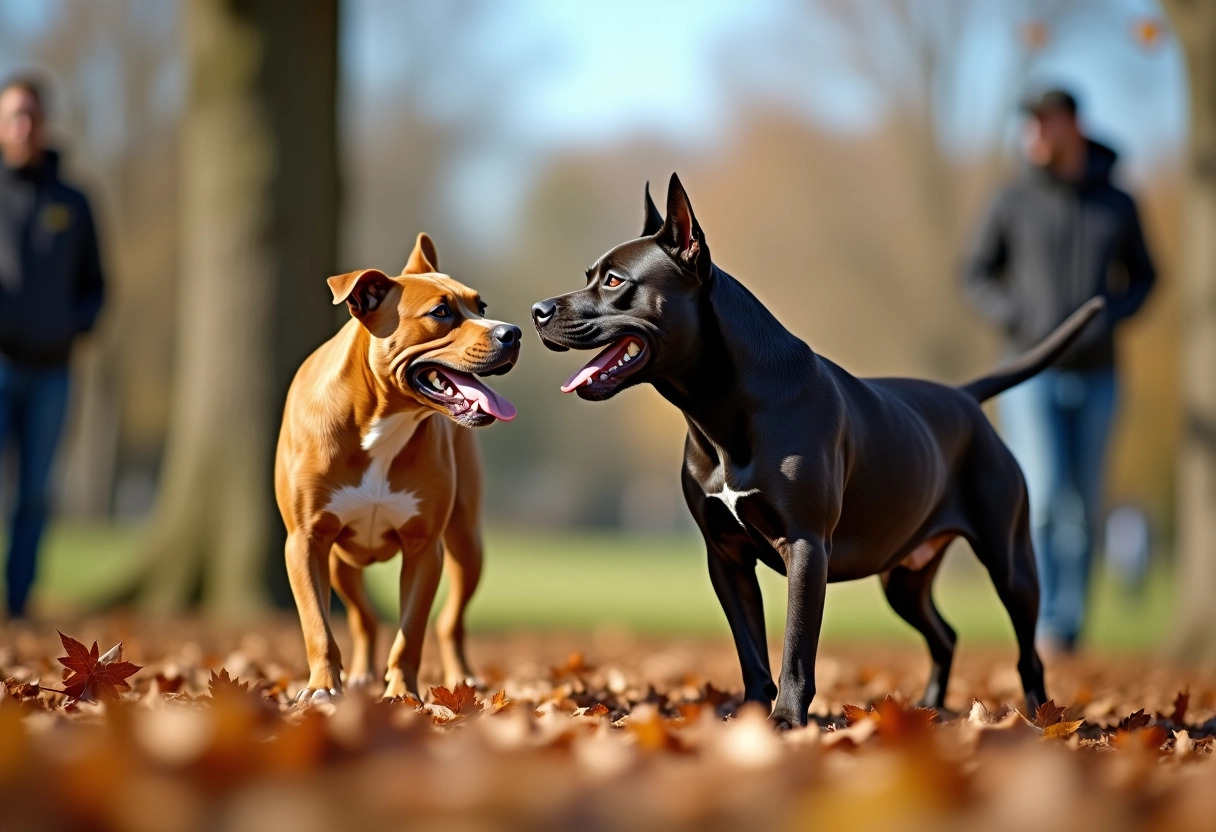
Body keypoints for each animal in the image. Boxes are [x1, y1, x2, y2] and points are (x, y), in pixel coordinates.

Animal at [276, 233, 518, 700]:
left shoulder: (425, 547)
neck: (381, 421)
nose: (512, 332)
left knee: (450, 622)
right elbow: (317, 624)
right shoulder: (305, 541)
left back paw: (462, 677)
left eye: (480, 306)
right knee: (364, 619)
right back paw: (358, 675)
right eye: (440, 312)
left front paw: (403, 693)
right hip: (341, 562)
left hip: (466, 545)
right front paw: (322, 687)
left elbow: (412, 631)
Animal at [532, 173, 1104, 729]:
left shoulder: (806, 546)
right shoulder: (727, 559)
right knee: (945, 635)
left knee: (1028, 652)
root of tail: (965, 397)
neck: (721, 408)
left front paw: (787, 718)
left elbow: (795, 647)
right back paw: (930, 710)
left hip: (1011, 564)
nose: (538, 309)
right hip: (904, 578)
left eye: (614, 281)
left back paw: (1039, 719)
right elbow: (751, 650)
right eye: (590, 274)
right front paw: (752, 716)